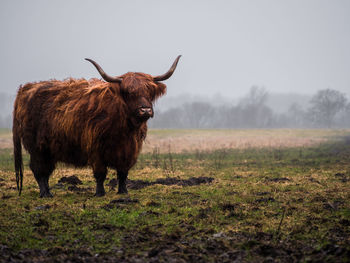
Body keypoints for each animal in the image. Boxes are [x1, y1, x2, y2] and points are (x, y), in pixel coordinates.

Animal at [12, 55, 182, 198]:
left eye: (149, 92)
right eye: (128, 92)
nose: (145, 110)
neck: (124, 129)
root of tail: (26, 89)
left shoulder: (129, 150)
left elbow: (123, 173)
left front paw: (123, 192)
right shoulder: (96, 149)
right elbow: (101, 173)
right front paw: (100, 193)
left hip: (48, 150)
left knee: (46, 171)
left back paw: (48, 192)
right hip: (37, 148)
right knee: (39, 170)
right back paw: (45, 194)